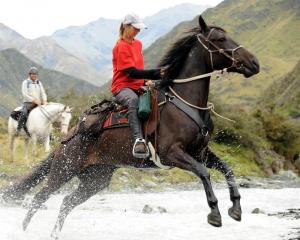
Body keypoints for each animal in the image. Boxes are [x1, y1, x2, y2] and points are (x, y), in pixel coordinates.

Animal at [0, 15, 258, 239]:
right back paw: (24, 231)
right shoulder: (173, 153)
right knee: (39, 198)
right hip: (64, 170)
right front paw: (215, 214)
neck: (186, 102)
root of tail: (70, 136)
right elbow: (205, 173)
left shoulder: (200, 152)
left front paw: (236, 209)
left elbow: (227, 169)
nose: (253, 63)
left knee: (65, 203)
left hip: (95, 179)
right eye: (220, 39)